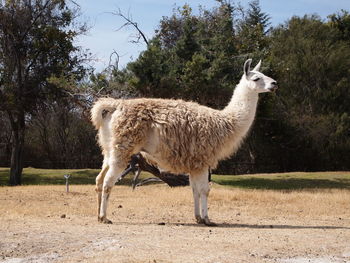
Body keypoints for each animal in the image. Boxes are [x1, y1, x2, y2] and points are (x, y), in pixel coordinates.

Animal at [91, 59, 278, 227]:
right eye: (257, 78)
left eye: (265, 74)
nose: (274, 83)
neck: (225, 123)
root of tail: (115, 105)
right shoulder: (203, 159)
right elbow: (205, 190)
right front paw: (208, 220)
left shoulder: (194, 162)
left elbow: (195, 190)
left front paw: (198, 218)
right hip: (123, 148)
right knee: (108, 182)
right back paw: (105, 217)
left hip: (109, 148)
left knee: (99, 179)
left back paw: (98, 216)